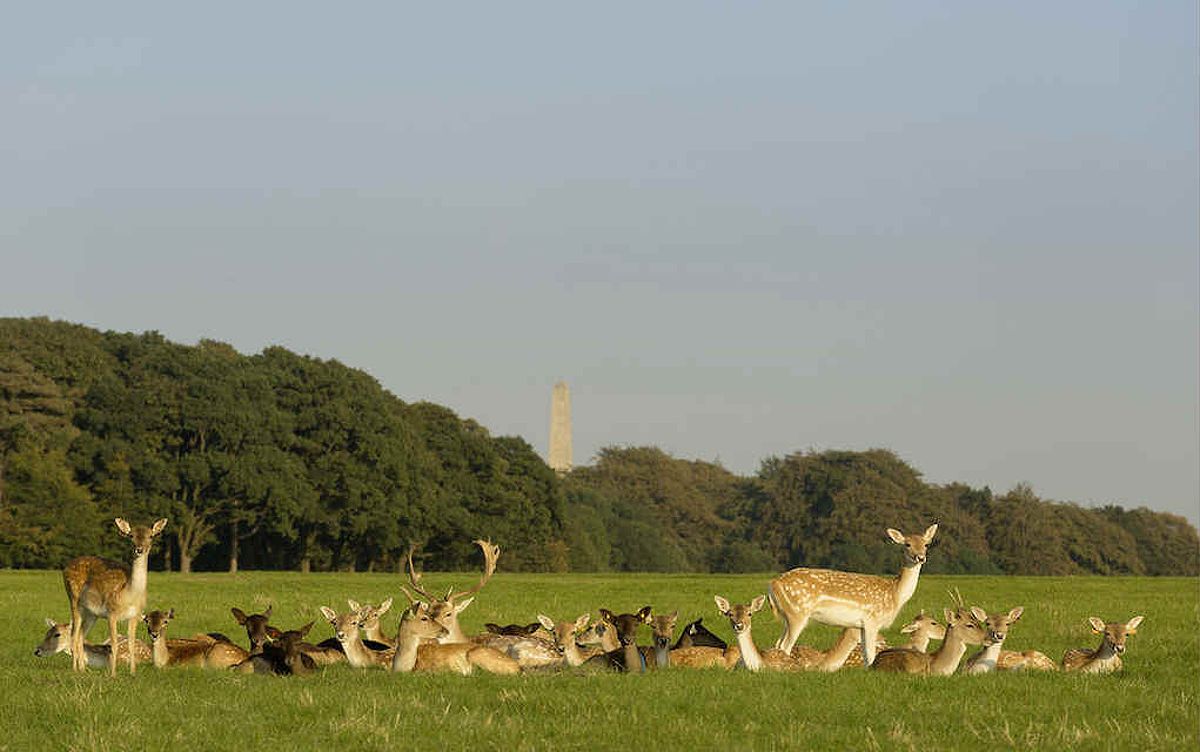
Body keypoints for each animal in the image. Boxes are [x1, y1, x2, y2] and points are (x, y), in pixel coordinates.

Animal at [61, 518, 166, 676]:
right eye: (131, 536)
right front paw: (113, 674)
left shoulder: (135, 616)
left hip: (92, 613)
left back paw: (83, 669)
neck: (129, 596)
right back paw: (75, 669)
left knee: (80, 636)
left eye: (151, 536)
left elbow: (131, 643)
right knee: (74, 634)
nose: (139, 549)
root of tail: (65, 567)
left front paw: (133, 673)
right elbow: (114, 644)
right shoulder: (111, 613)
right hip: (73, 599)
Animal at [768, 522, 936, 671]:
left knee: (778, 643)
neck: (894, 594)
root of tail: (773, 584)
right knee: (785, 645)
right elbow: (870, 654)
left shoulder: (859, 625)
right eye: (907, 544)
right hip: (797, 613)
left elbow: (866, 656)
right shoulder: (872, 620)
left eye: (926, 544)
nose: (920, 557)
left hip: (788, 616)